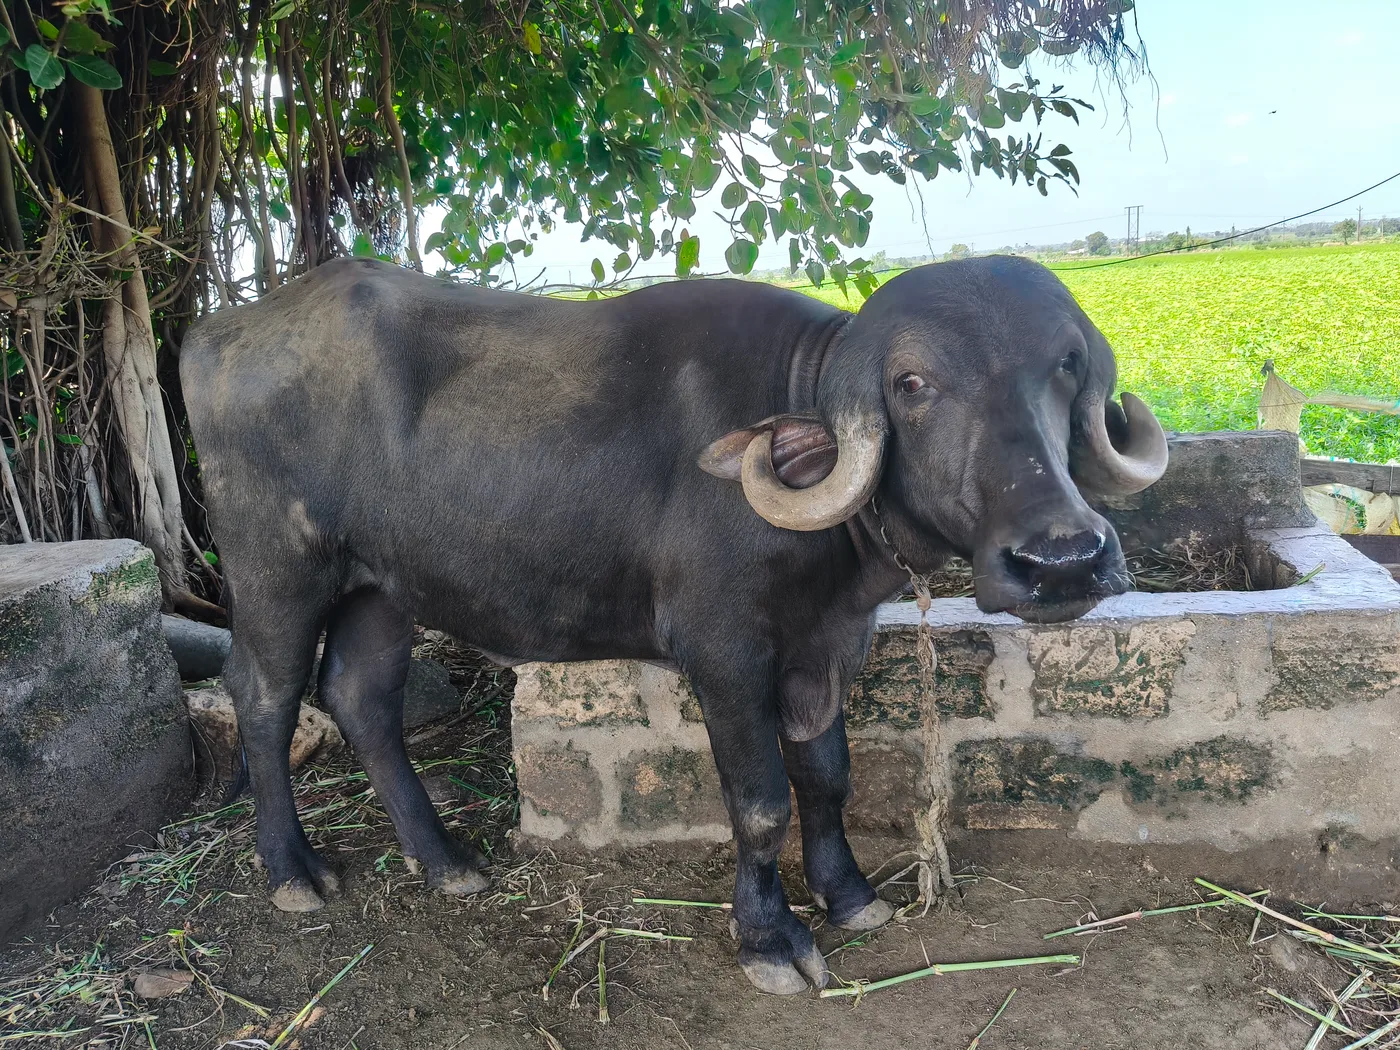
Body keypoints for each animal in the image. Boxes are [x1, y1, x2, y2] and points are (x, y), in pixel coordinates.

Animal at [181, 254, 1166, 994]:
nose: (1064, 560)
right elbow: (761, 801)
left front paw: (849, 895)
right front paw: (771, 941)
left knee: (361, 696)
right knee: (264, 695)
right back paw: (293, 871)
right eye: (913, 383)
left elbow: (827, 777)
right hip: (277, 567)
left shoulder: (828, 646)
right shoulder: (724, 650)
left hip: (384, 585)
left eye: (1066, 365)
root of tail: (213, 335)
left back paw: (445, 858)